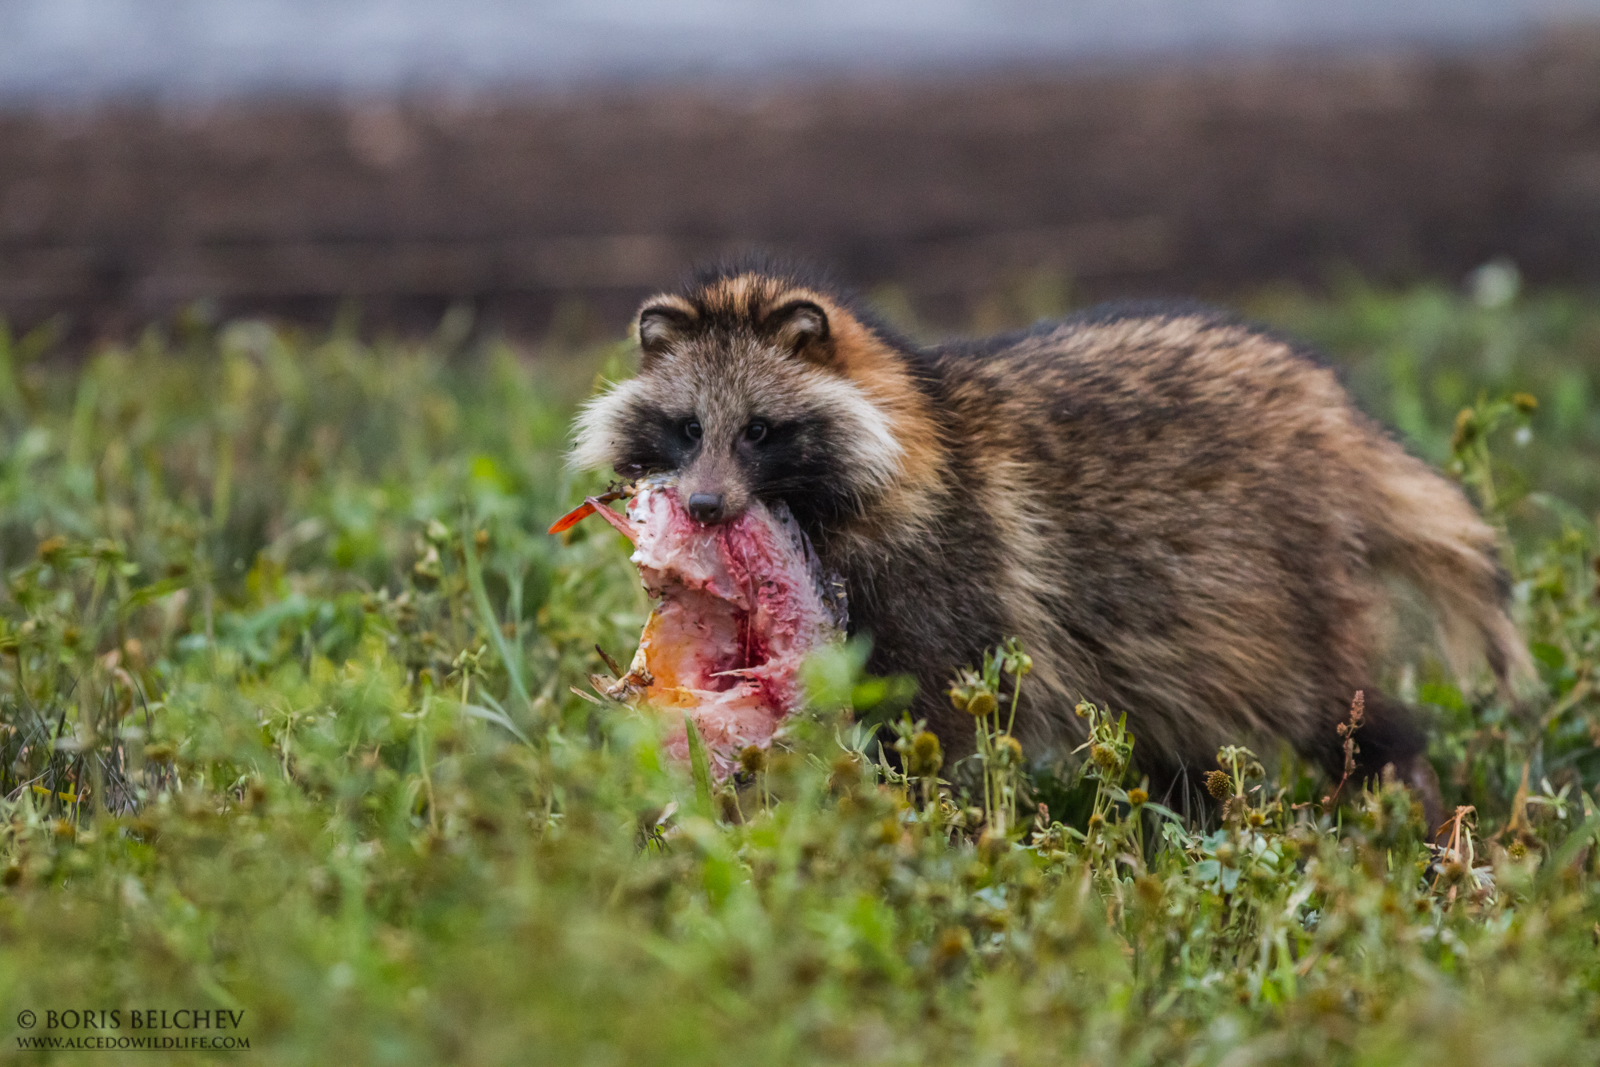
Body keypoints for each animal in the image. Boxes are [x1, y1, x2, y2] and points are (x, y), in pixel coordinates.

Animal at [571, 260, 1532, 819]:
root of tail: (1339, 416)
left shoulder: (950, 569)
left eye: (762, 431)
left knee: (1337, 710)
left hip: (1282, 587)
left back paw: (1411, 800)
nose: (704, 507)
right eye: (688, 427)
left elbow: (931, 719)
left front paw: (911, 816)